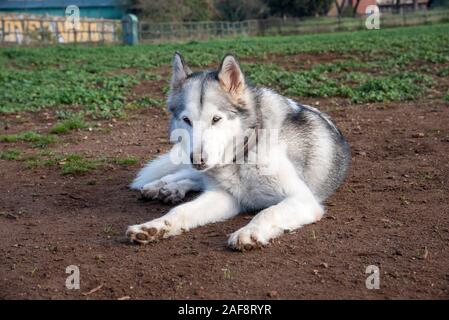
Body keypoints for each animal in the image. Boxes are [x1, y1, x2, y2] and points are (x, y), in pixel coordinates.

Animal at [126, 52, 350, 251]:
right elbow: (181, 211)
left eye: (216, 119)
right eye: (186, 120)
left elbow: (267, 212)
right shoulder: (225, 196)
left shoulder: (302, 199)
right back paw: (160, 186)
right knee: (187, 175)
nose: (197, 159)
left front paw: (248, 232)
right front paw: (154, 226)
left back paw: (171, 188)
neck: (244, 155)